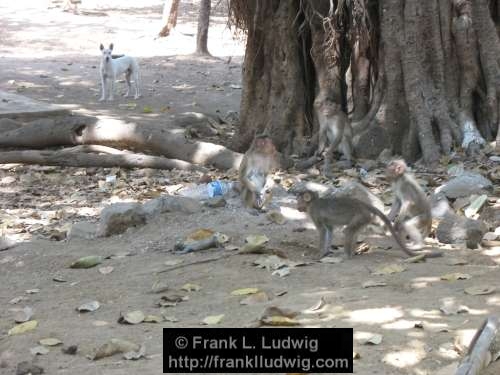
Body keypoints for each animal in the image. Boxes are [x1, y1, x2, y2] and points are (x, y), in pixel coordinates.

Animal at [294, 189, 444, 260]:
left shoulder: (315, 213)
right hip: (364, 218)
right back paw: (352, 252)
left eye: (299, 200)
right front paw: (325, 252)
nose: (297, 207)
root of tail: (363, 204)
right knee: (353, 231)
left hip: (361, 216)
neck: (312, 203)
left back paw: (347, 255)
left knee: (348, 231)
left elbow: (322, 231)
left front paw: (319, 254)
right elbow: (329, 230)